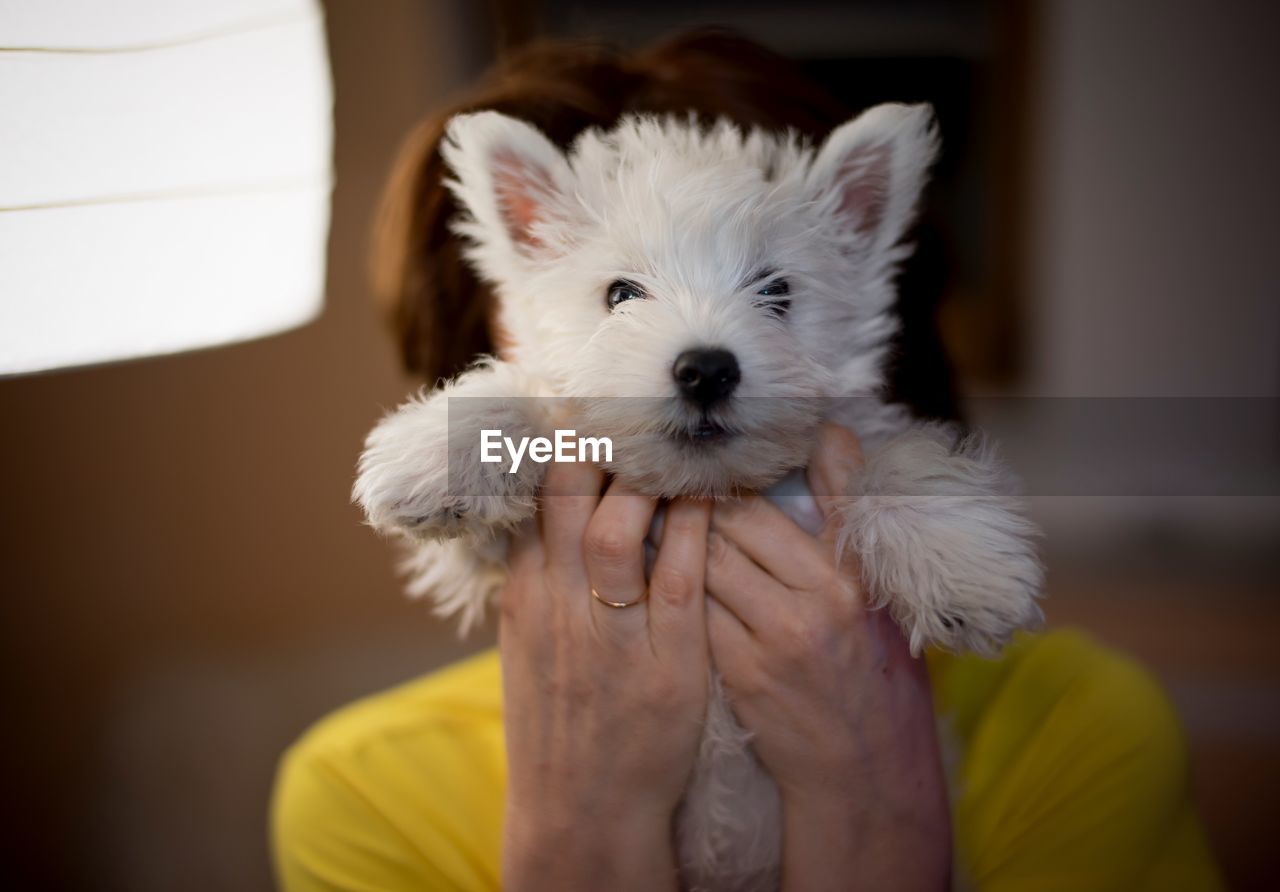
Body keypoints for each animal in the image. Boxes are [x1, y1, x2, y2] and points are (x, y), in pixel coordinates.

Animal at [350, 106, 1039, 890]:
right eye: (620, 294)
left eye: (778, 291)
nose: (705, 369)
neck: (703, 495)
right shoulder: (488, 558)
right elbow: (540, 403)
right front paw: (437, 453)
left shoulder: (850, 437)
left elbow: (893, 456)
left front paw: (966, 570)